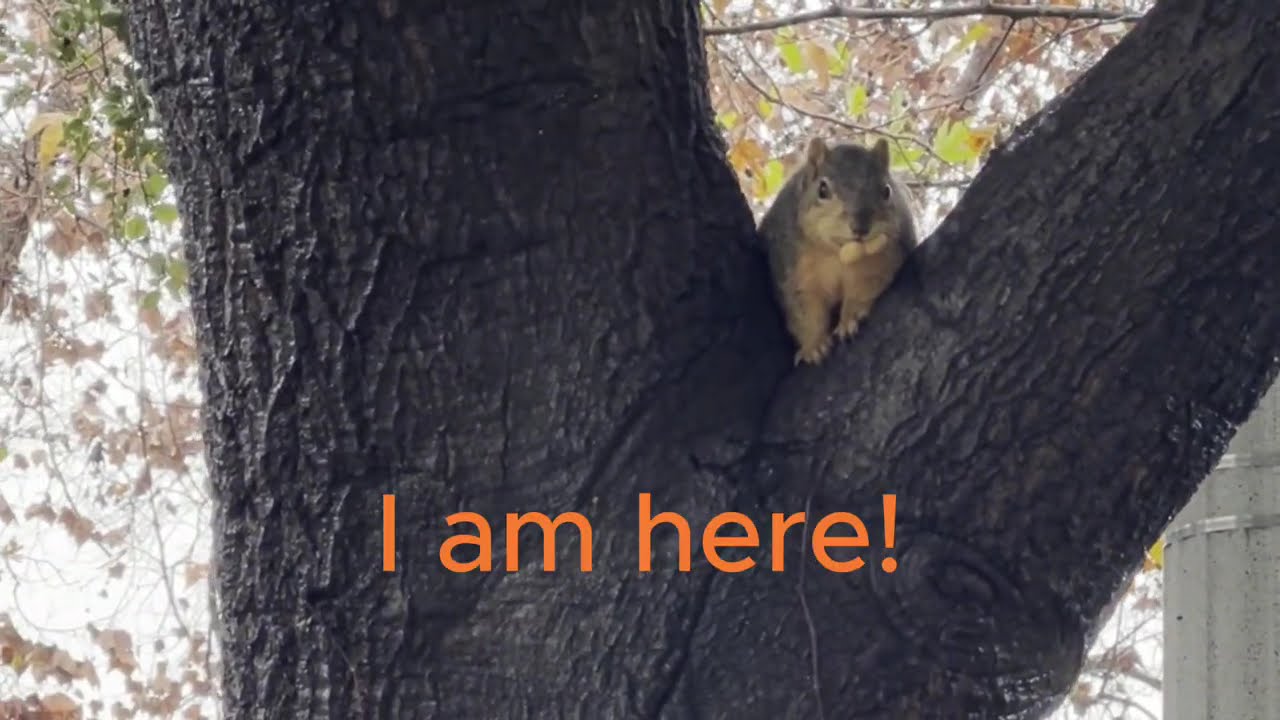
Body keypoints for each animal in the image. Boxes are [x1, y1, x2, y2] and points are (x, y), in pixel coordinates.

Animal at [758, 136, 919, 365]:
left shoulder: (882, 256)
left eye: (887, 191)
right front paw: (814, 346)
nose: (861, 227)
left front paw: (850, 319)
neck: (836, 252)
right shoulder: (790, 267)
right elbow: (805, 310)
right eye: (822, 190)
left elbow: (863, 288)